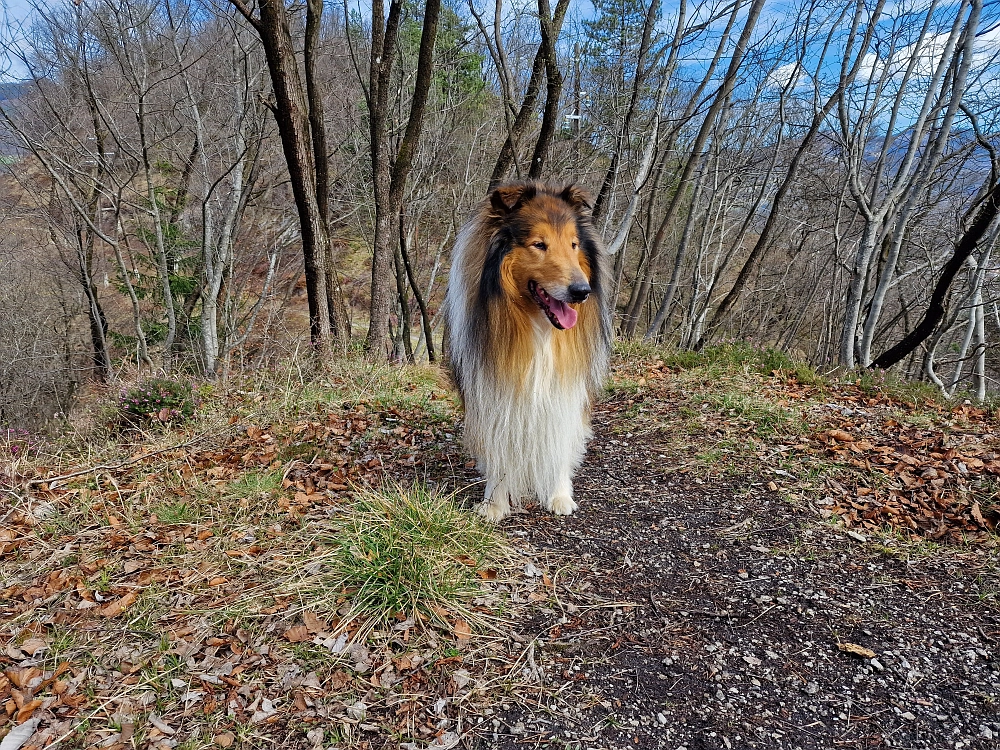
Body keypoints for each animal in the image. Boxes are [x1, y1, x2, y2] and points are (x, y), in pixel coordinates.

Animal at [444, 182, 608, 524]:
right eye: (539, 244)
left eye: (573, 244)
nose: (582, 292)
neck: (539, 327)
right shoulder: (492, 390)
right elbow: (500, 447)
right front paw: (494, 503)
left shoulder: (564, 388)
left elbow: (559, 439)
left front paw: (559, 496)